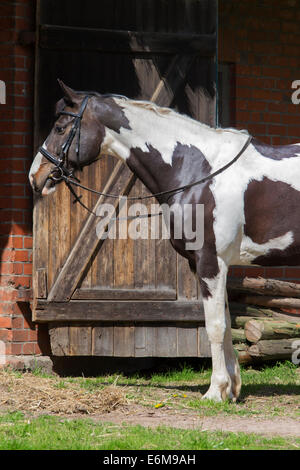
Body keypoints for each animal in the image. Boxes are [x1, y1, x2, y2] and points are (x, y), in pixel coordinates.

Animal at [29, 82, 300, 402]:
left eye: (60, 127)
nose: (35, 176)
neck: (199, 170)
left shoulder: (210, 262)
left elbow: (215, 326)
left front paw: (215, 391)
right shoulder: (209, 266)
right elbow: (223, 321)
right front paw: (231, 390)